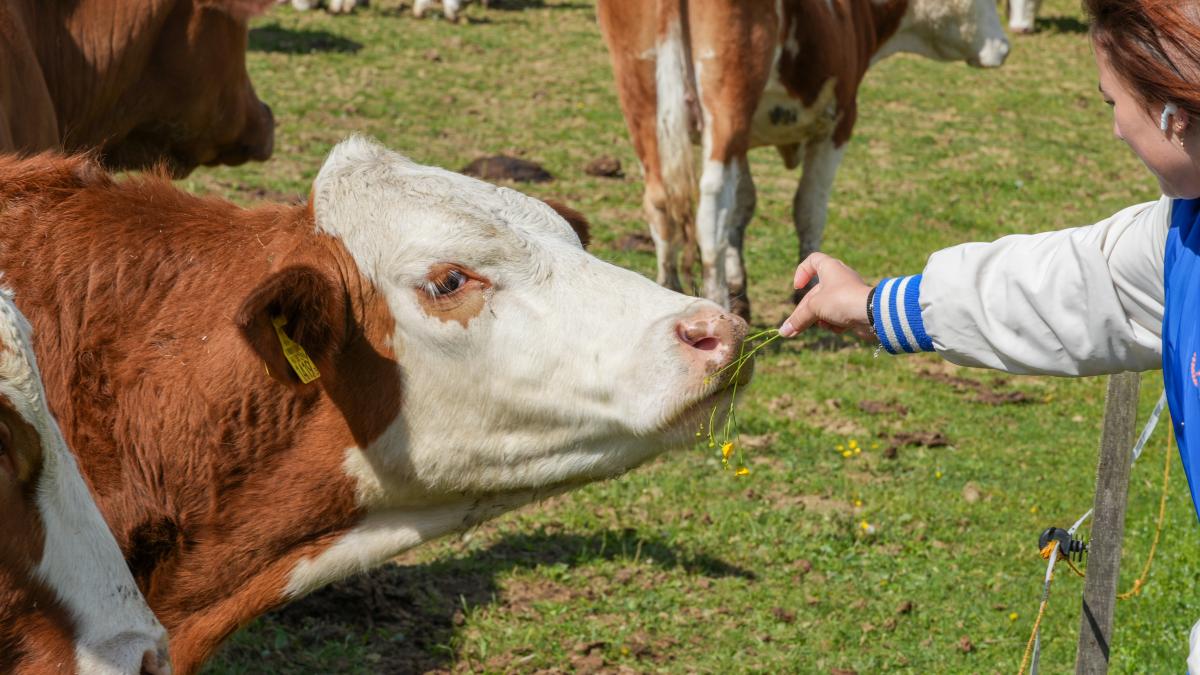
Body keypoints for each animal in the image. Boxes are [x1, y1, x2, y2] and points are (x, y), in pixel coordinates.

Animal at [595, 0, 1008, 317]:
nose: (1004, 46)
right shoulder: (838, 122)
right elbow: (808, 207)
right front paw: (808, 291)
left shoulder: (745, 142)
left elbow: (742, 207)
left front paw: (740, 287)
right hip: (728, 101)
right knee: (710, 213)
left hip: (640, 95)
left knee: (659, 200)